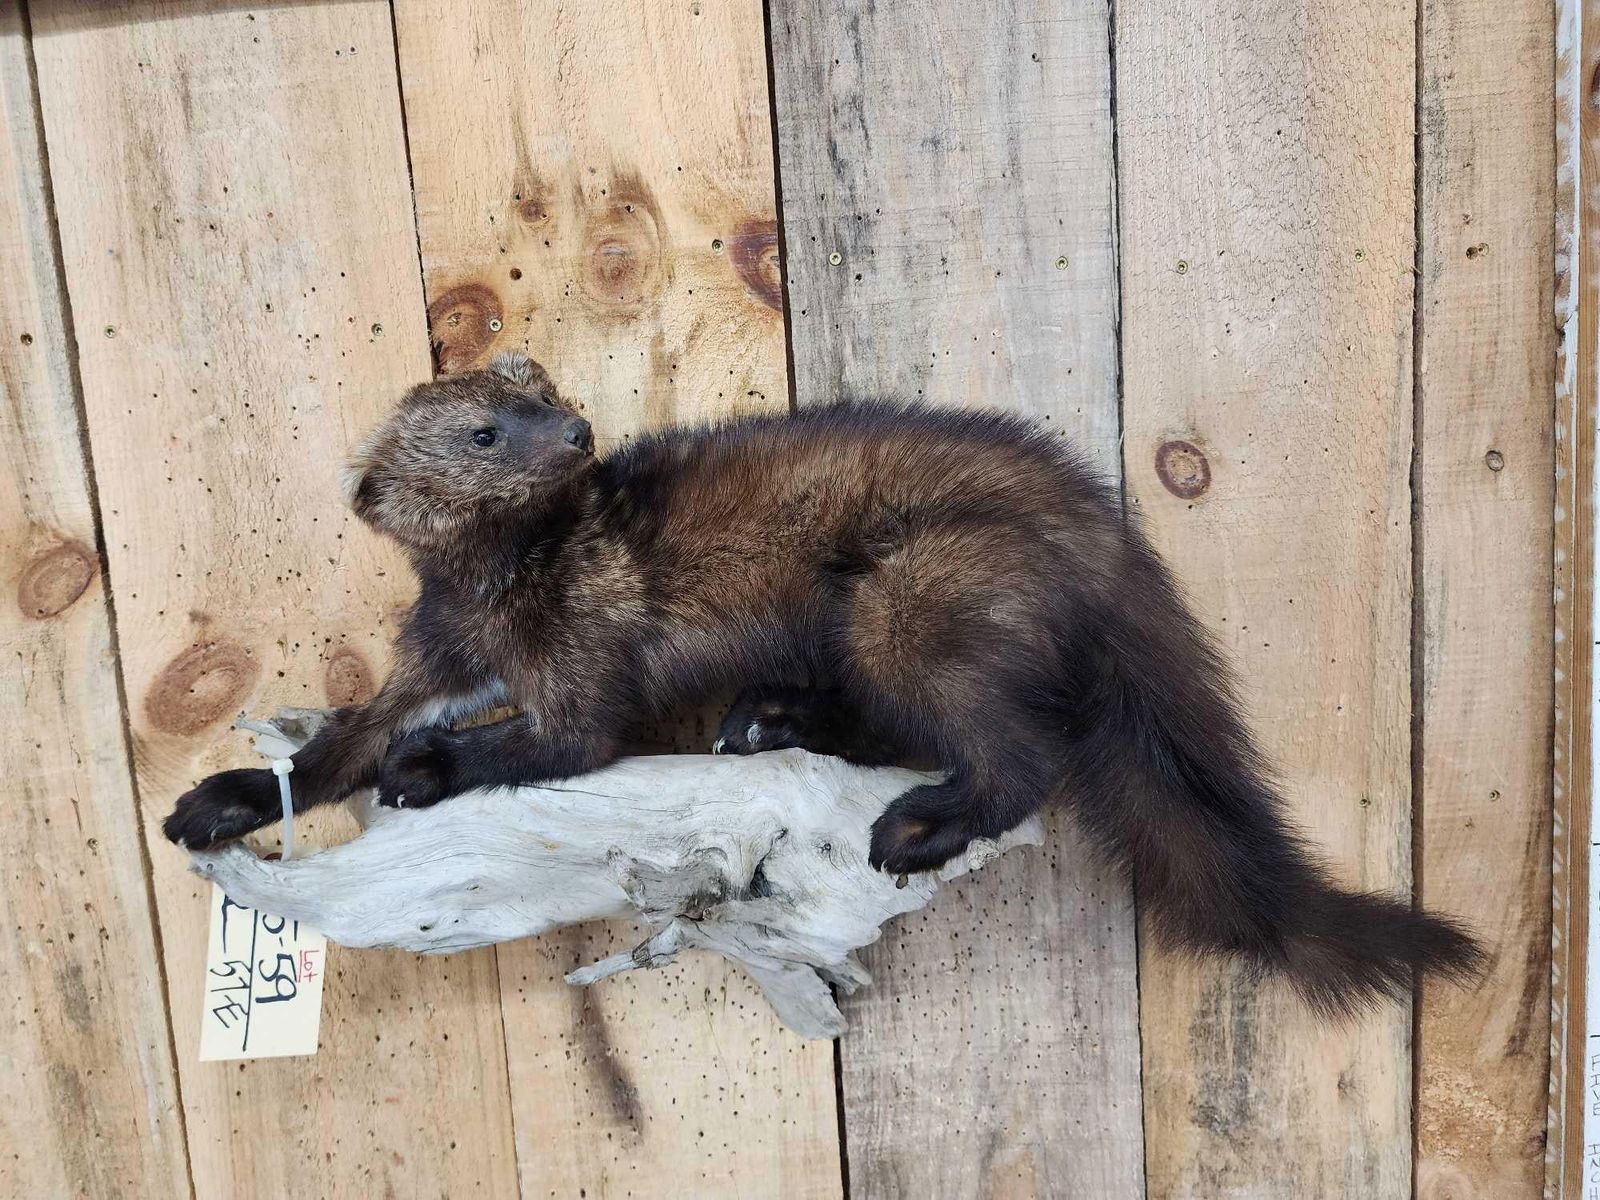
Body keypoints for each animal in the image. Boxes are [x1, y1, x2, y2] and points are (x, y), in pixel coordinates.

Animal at [164, 352, 1481, 1015]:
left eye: (544, 395)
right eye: (486, 430)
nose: (579, 430)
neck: (498, 603)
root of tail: (1096, 528)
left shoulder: (580, 668)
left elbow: (554, 739)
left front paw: (428, 764)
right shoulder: (430, 655)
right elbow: (333, 745)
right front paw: (213, 802)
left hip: (908, 597)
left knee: (1022, 756)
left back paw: (913, 823)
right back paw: (764, 720)